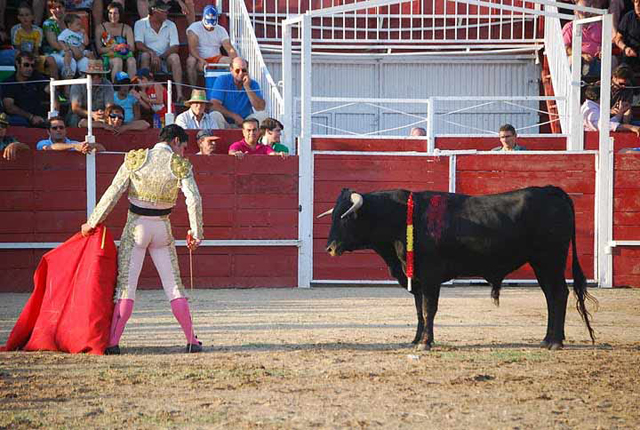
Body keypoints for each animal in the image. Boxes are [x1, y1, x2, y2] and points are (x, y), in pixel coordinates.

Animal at [322, 185, 596, 350]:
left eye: (346, 217)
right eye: (333, 215)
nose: (330, 248)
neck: (402, 219)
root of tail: (552, 190)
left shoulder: (430, 276)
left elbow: (428, 309)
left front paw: (426, 343)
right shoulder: (416, 279)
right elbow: (419, 311)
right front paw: (416, 340)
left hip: (550, 259)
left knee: (559, 294)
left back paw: (555, 341)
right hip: (541, 263)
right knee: (551, 296)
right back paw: (547, 339)